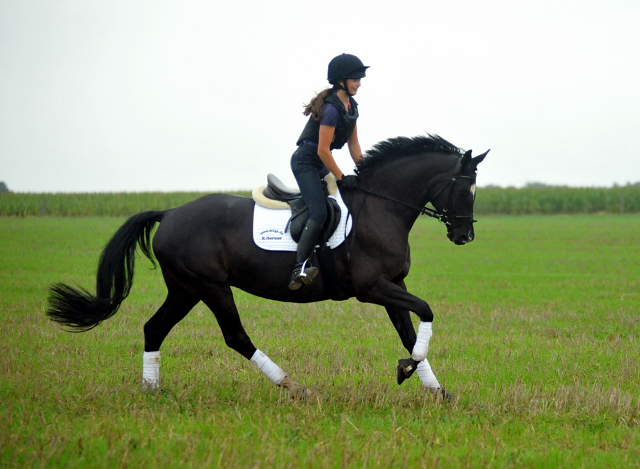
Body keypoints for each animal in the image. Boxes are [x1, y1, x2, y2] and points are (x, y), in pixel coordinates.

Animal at [46, 133, 484, 396]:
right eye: (466, 189)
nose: (465, 236)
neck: (381, 207)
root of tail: (169, 213)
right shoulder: (372, 288)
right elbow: (426, 312)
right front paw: (409, 371)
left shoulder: (394, 286)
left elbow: (411, 332)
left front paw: (433, 387)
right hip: (211, 287)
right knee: (235, 337)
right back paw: (293, 386)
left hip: (185, 288)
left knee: (154, 328)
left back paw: (152, 390)